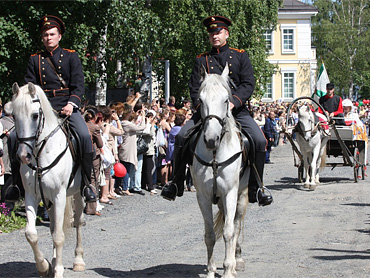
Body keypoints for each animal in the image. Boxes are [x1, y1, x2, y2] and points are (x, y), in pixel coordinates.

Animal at [11, 83, 85, 278]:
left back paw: (78, 260)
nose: (23, 156)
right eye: (13, 115)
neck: (40, 154)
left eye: (35, 115)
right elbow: (31, 234)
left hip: (79, 193)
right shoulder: (32, 195)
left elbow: (59, 236)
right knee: (53, 226)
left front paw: (58, 270)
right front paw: (44, 266)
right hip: (49, 200)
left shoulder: (59, 195)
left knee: (78, 222)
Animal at [191, 65, 249, 278]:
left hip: (242, 195)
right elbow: (209, 234)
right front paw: (210, 270)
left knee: (237, 224)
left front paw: (228, 269)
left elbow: (229, 232)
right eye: (200, 100)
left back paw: (236, 259)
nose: (211, 139)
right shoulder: (204, 196)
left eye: (226, 100)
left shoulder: (230, 193)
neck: (215, 154)